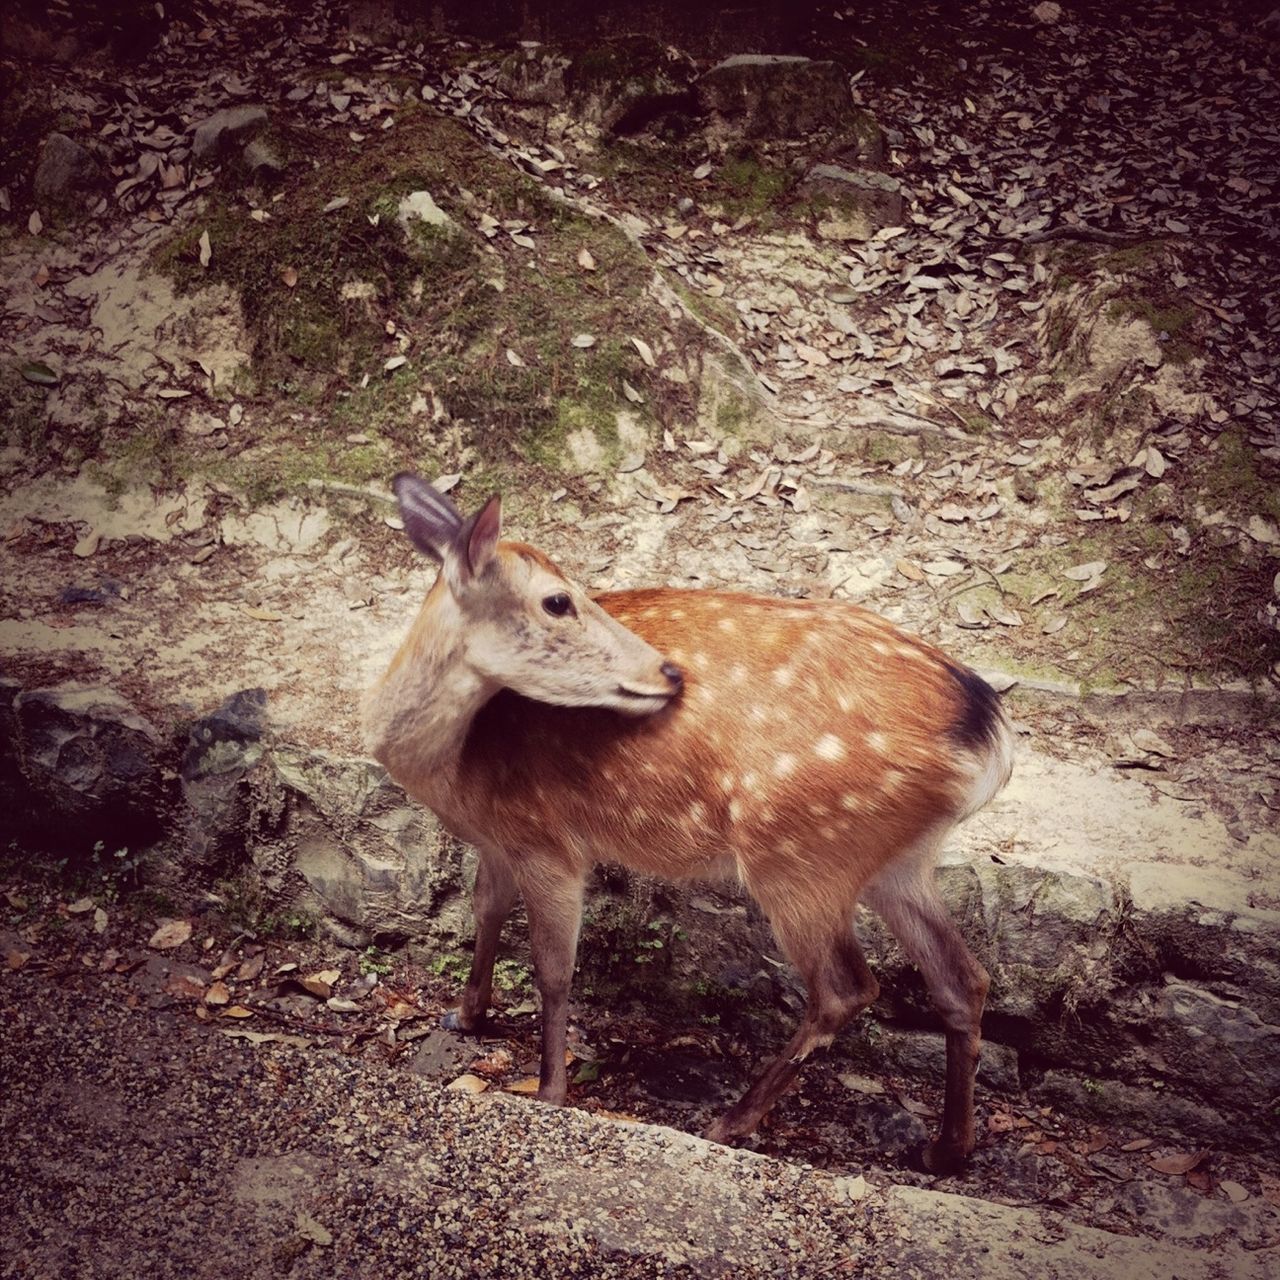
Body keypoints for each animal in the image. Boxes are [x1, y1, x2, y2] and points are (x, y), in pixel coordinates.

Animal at [366, 473, 1013, 1172]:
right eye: (557, 601)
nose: (668, 670)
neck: (456, 771)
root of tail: (988, 738)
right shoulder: (497, 838)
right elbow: (483, 910)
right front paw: (467, 1016)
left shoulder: (548, 840)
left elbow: (553, 969)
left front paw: (549, 1092)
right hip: (898, 859)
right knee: (963, 979)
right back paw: (946, 1150)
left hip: (800, 854)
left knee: (846, 988)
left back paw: (729, 1123)